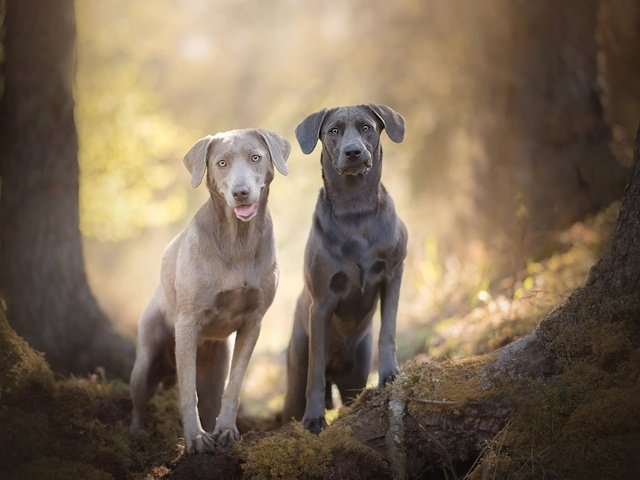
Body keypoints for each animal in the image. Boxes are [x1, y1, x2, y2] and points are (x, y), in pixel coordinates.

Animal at [284, 103, 408, 434]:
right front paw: (315, 419)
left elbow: (388, 332)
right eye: (334, 130)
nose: (353, 152)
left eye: (366, 127)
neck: (355, 208)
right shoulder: (322, 302)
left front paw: (389, 374)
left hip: (355, 374)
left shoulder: (393, 273)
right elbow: (315, 374)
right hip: (294, 369)